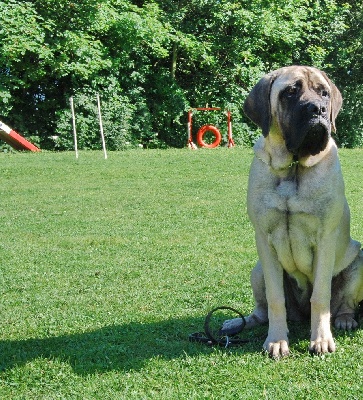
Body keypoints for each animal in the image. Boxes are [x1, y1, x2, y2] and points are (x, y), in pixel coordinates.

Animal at [223, 66, 362, 360]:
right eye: (290, 92)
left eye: (324, 92)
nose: (318, 109)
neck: (293, 166)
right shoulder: (264, 240)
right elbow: (275, 300)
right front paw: (276, 341)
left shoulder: (325, 238)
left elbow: (320, 296)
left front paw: (321, 340)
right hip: (258, 271)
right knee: (262, 311)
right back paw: (238, 322)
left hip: (359, 262)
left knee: (343, 303)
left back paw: (345, 319)